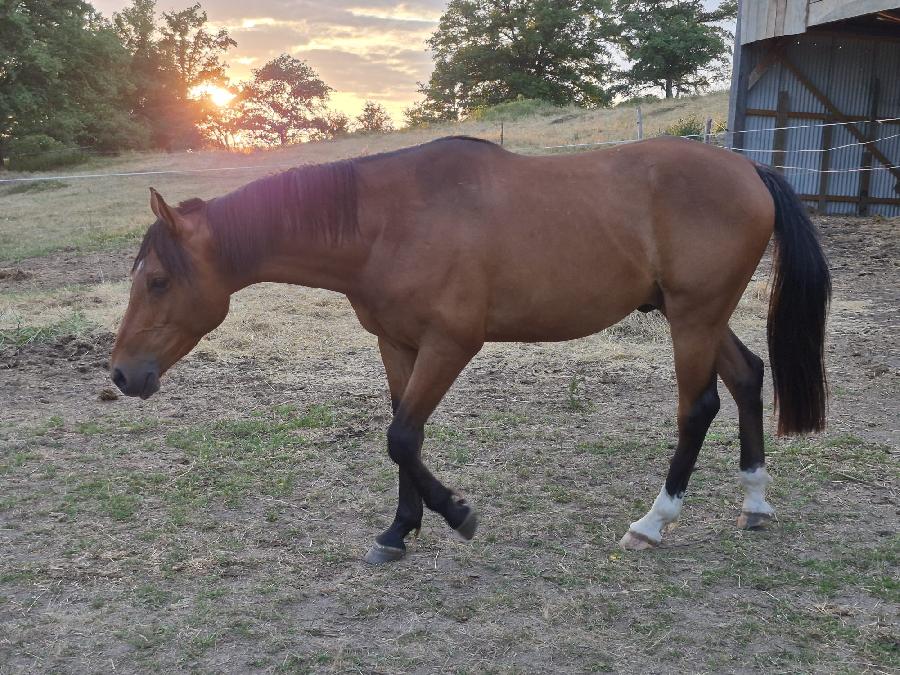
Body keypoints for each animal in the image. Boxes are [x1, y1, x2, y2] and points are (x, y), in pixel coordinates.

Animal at [110, 136, 831, 563]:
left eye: (158, 279)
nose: (121, 374)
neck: (389, 222)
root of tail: (749, 169)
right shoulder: (397, 342)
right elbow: (404, 433)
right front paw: (399, 530)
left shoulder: (451, 343)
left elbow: (401, 436)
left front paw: (457, 513)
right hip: (699, 316)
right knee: (747, 378)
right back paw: (755, 503)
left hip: (693, 316)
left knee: (698, 407)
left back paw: (654, 522)